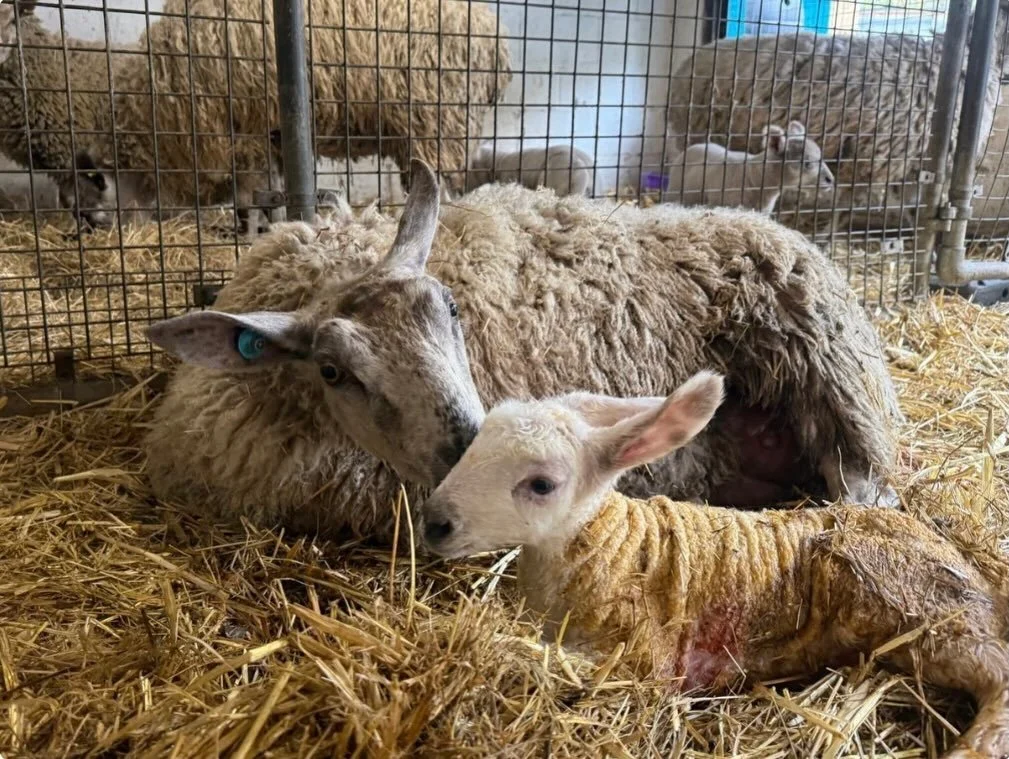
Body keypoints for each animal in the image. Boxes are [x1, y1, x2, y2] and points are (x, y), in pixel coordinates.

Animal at [75, 0, 512, 234]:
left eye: (99, 181)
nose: (92, 223)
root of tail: (497, 38)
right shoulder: (270, 138)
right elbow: (272, 194)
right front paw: (276, 226)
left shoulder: (245, 136)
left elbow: (249, 201)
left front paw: (251, 234)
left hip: (439, 117)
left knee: (445, 185)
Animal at [420, 371, 1009, 759]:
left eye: (541, 485)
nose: (433, 522)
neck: (609, 546)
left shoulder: (643, 659)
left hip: (927, 613)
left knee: (996, 668)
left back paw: (977, 744)